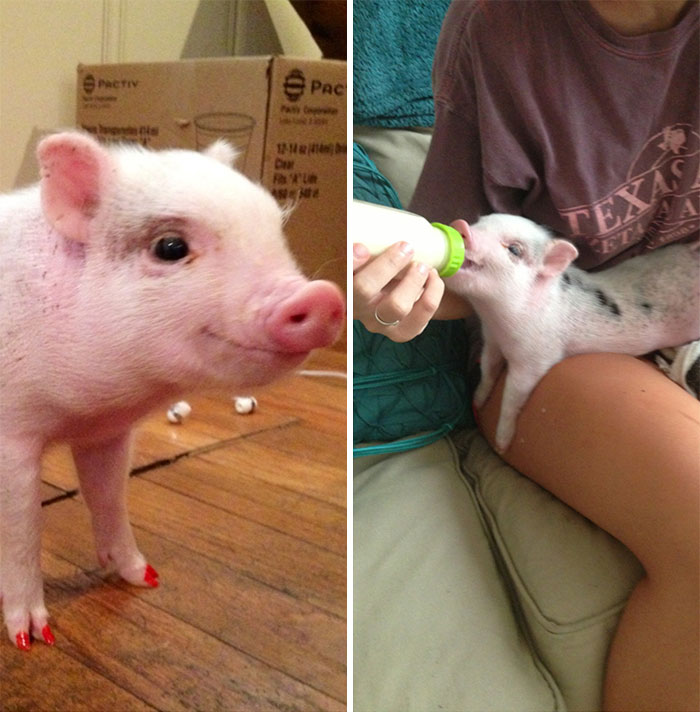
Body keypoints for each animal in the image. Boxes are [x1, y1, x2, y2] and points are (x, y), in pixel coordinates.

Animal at [0, 131, 344, 650]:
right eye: (170, 246)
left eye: (273, 228)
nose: (322, 296)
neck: (82, 411)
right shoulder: (11, 437)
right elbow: (23, 527)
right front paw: (34, 639)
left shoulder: (107, 433)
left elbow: (109, 497)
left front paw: (144, 578)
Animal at [446, 213, 700, 452]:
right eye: (479, 222)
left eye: (515, 249)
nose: (461, 225)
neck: (497, 322)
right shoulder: (491, 340)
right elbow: (488, 369)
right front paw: (477, 402)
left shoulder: (536, 358)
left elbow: (512, 395)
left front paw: (501, 445)